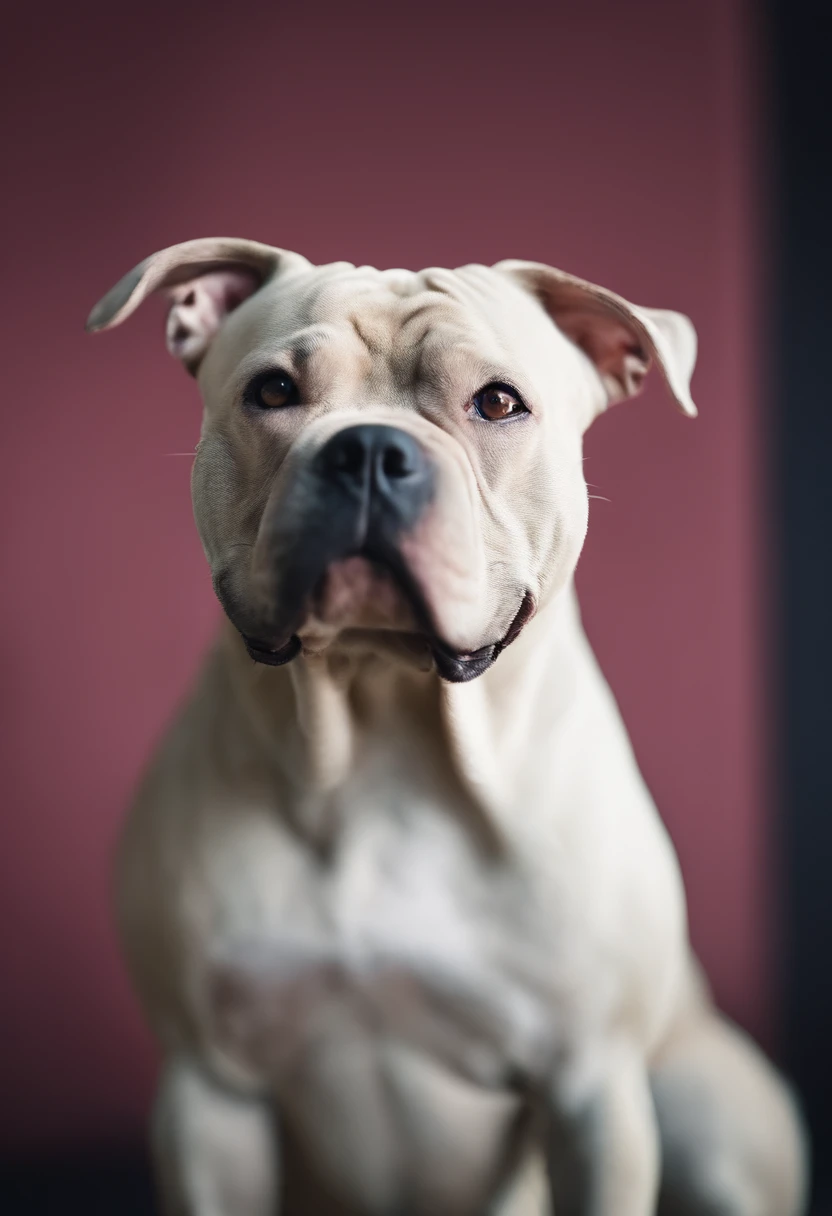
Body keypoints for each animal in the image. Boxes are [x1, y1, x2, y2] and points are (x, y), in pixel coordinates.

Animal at [86, 239, 807, 1216]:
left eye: (497, 402)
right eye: (272, 391)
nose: (367, 450)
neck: (383, 733)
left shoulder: (592, 1091)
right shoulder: (211, 1090)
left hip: (703, 1113)